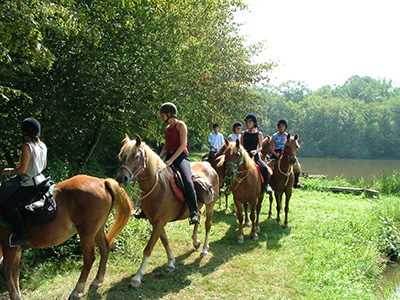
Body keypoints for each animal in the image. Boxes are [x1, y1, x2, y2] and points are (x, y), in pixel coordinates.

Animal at [0, 175, 134, 298]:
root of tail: (102, 182)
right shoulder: (16, 249)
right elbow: (14, 273)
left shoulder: (8, 246)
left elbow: (6, 272)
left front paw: (15, 296)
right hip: (98, 229)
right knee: (104, 249)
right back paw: (97, 280)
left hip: (86, 232)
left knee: (89, 257)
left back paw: (77, 289)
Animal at [115, 135, 219, 288]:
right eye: (121, 155)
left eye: (137, 156)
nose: (121, 178)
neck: (158, 186)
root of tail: (209, 166)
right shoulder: (156, 222)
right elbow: (164, 241)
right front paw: (171, 263)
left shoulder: (159, 222)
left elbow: (148, 248)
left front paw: (137, 277)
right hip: (197, 206)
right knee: (197, 217)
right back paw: (196, 242)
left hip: (210, 205)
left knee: (208, 225)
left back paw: (204, 249)